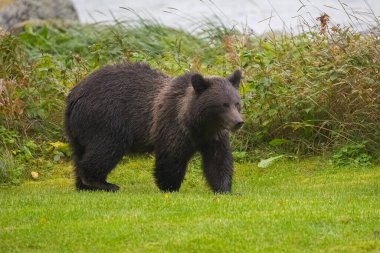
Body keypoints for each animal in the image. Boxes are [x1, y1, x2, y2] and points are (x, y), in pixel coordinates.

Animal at [64, 62, 243, 193]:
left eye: (236, 103)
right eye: (223, 105)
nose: (238, 122)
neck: (197, 123)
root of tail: (74, 95)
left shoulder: (213, 136)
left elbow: (218, 160)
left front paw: (224, 189)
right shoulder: (173, 125)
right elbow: (171, 157)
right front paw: (169, 186)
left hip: (79, 129)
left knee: (80, 152)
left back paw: (84, 186)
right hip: (105, 119)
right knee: (107, 148)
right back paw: (104, 184)